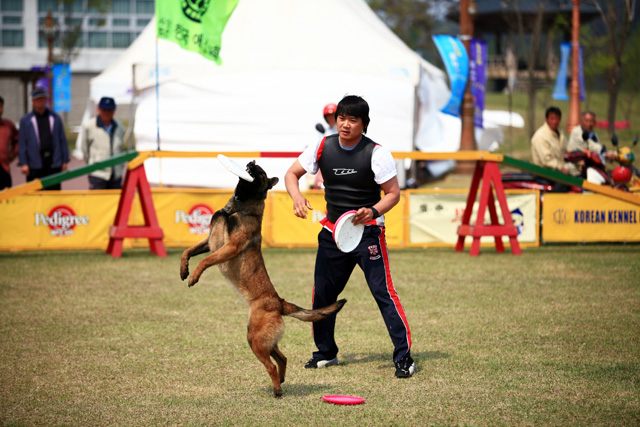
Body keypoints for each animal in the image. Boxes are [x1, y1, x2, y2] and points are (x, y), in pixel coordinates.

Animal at [178, 160, 348, 398]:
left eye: (262, 173)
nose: (252, 162)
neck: (243, 207)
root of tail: (279, 302)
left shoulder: (227, 246)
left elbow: (206, 255)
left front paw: (194, 275)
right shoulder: (211, 241)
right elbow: (188, 250)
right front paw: (184, 270)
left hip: (255, 340)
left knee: (270, 365)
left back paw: (277, 389)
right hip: (265, 340)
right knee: (282, 357)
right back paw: (282, 380)